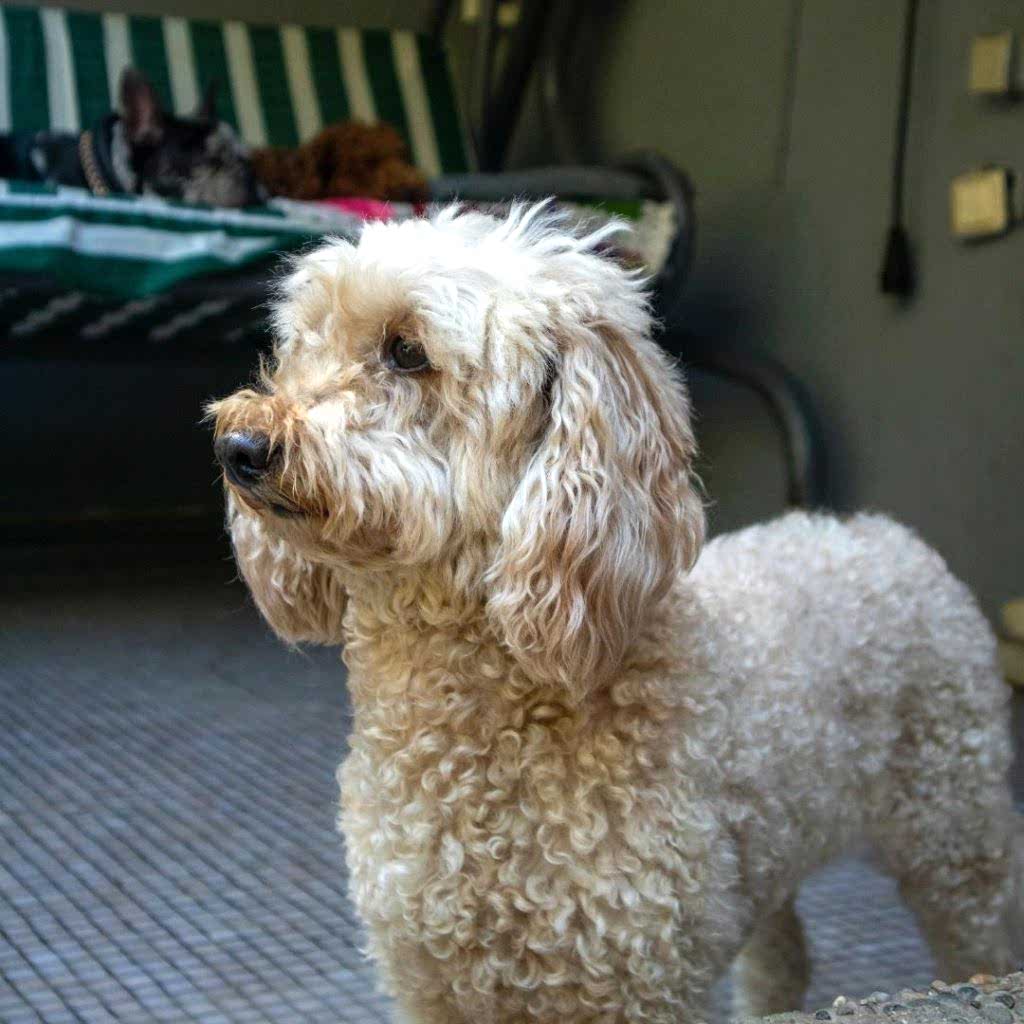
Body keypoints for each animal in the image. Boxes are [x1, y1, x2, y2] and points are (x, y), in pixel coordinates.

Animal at [209, 205, 1022, 1024]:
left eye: (407, 352)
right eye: (304, 343)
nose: (239, 447)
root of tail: (884, 533)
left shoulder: (640, 972)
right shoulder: (429, 977)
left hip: (955, 828)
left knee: (977, 929)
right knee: (780, 949)